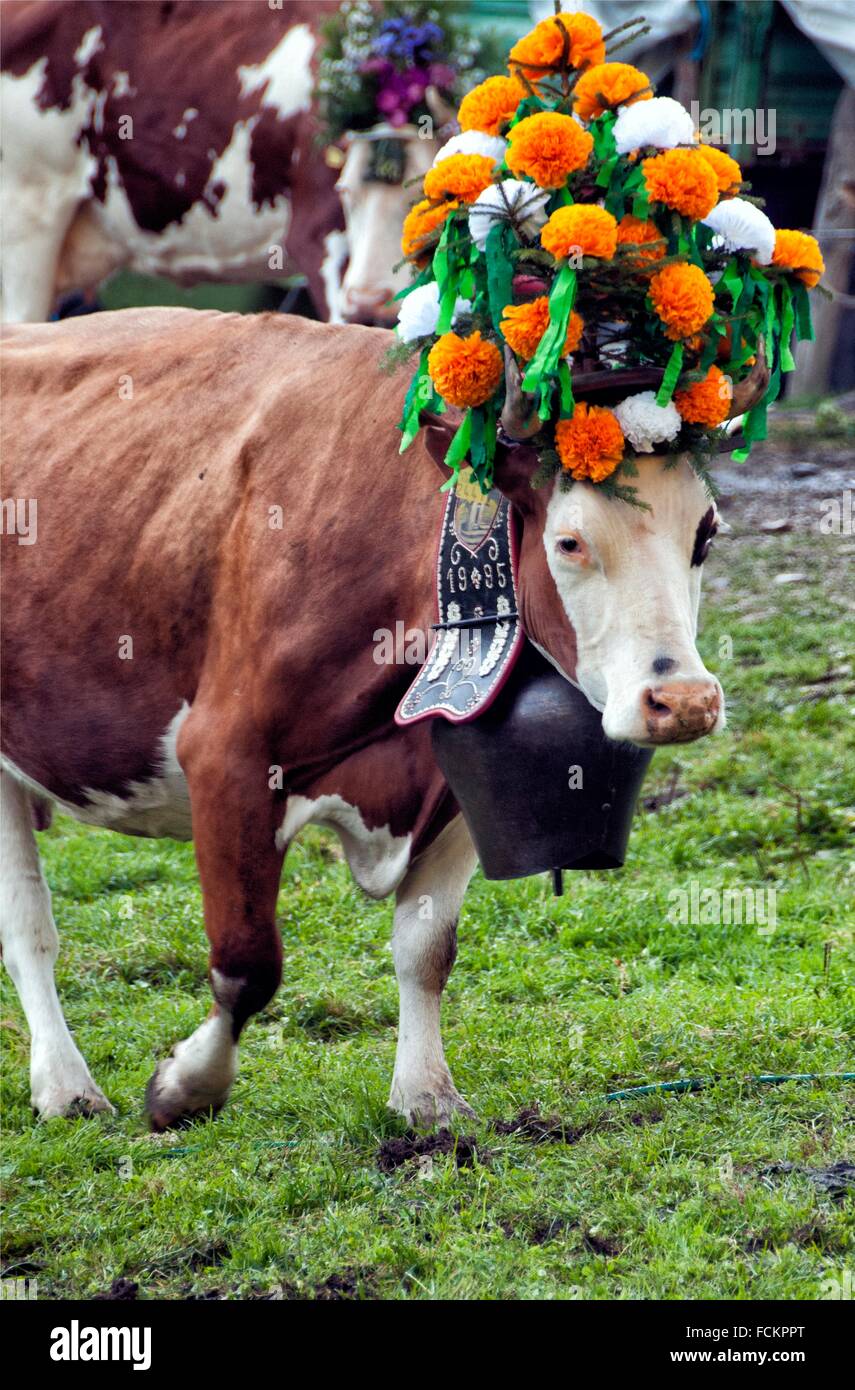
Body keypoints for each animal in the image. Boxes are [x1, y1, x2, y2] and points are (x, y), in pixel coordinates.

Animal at [0, 307, 768, 1128]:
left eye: (705, 533)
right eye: (569, 540)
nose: (684, 701)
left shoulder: (453, 778)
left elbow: (426, 949)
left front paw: (428, 1099)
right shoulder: (225, 755)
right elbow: (246, 962)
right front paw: (186, 1085)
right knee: (30, 927)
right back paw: (66, 1085)